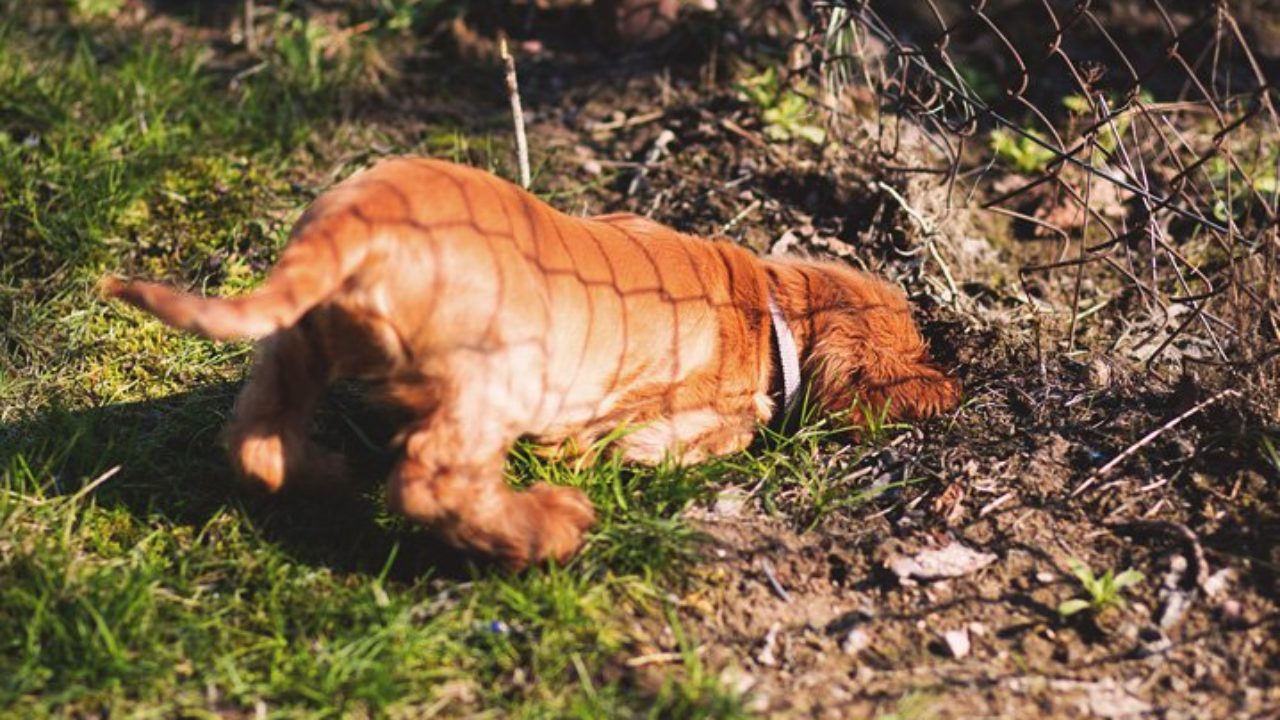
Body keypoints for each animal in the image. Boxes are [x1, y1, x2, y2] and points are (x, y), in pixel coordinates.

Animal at [104, 155, 957, 566]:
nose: (950, 386)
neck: (770, 304)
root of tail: (358, 221)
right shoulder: (678, 423)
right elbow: (712, 435)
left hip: (296, 341)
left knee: (257, 439)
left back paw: (331, 474)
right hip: (494, 377)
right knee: (431, 479)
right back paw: (548, 529)